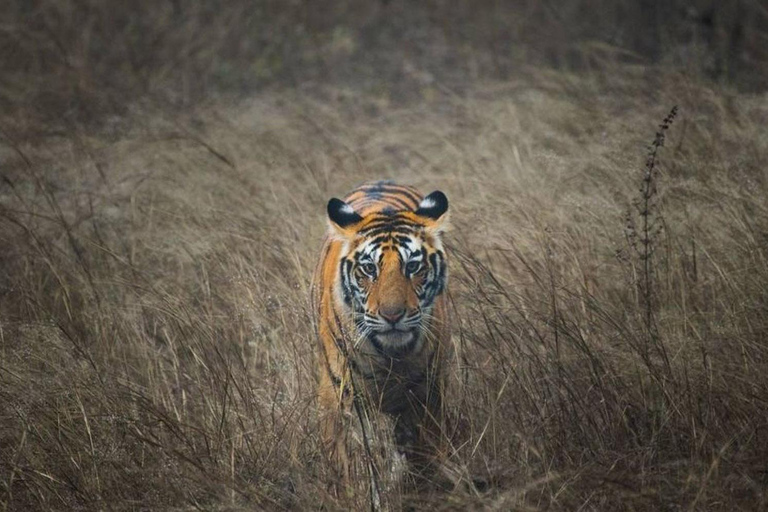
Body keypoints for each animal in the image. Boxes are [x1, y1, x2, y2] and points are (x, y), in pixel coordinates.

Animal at [310, 180, 450, 488]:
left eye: (412, 266)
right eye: (369, 268)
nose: (392, 315)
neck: (391, 355)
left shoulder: (427, 393)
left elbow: (425, 451)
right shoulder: (343, 396)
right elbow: (352, 461)